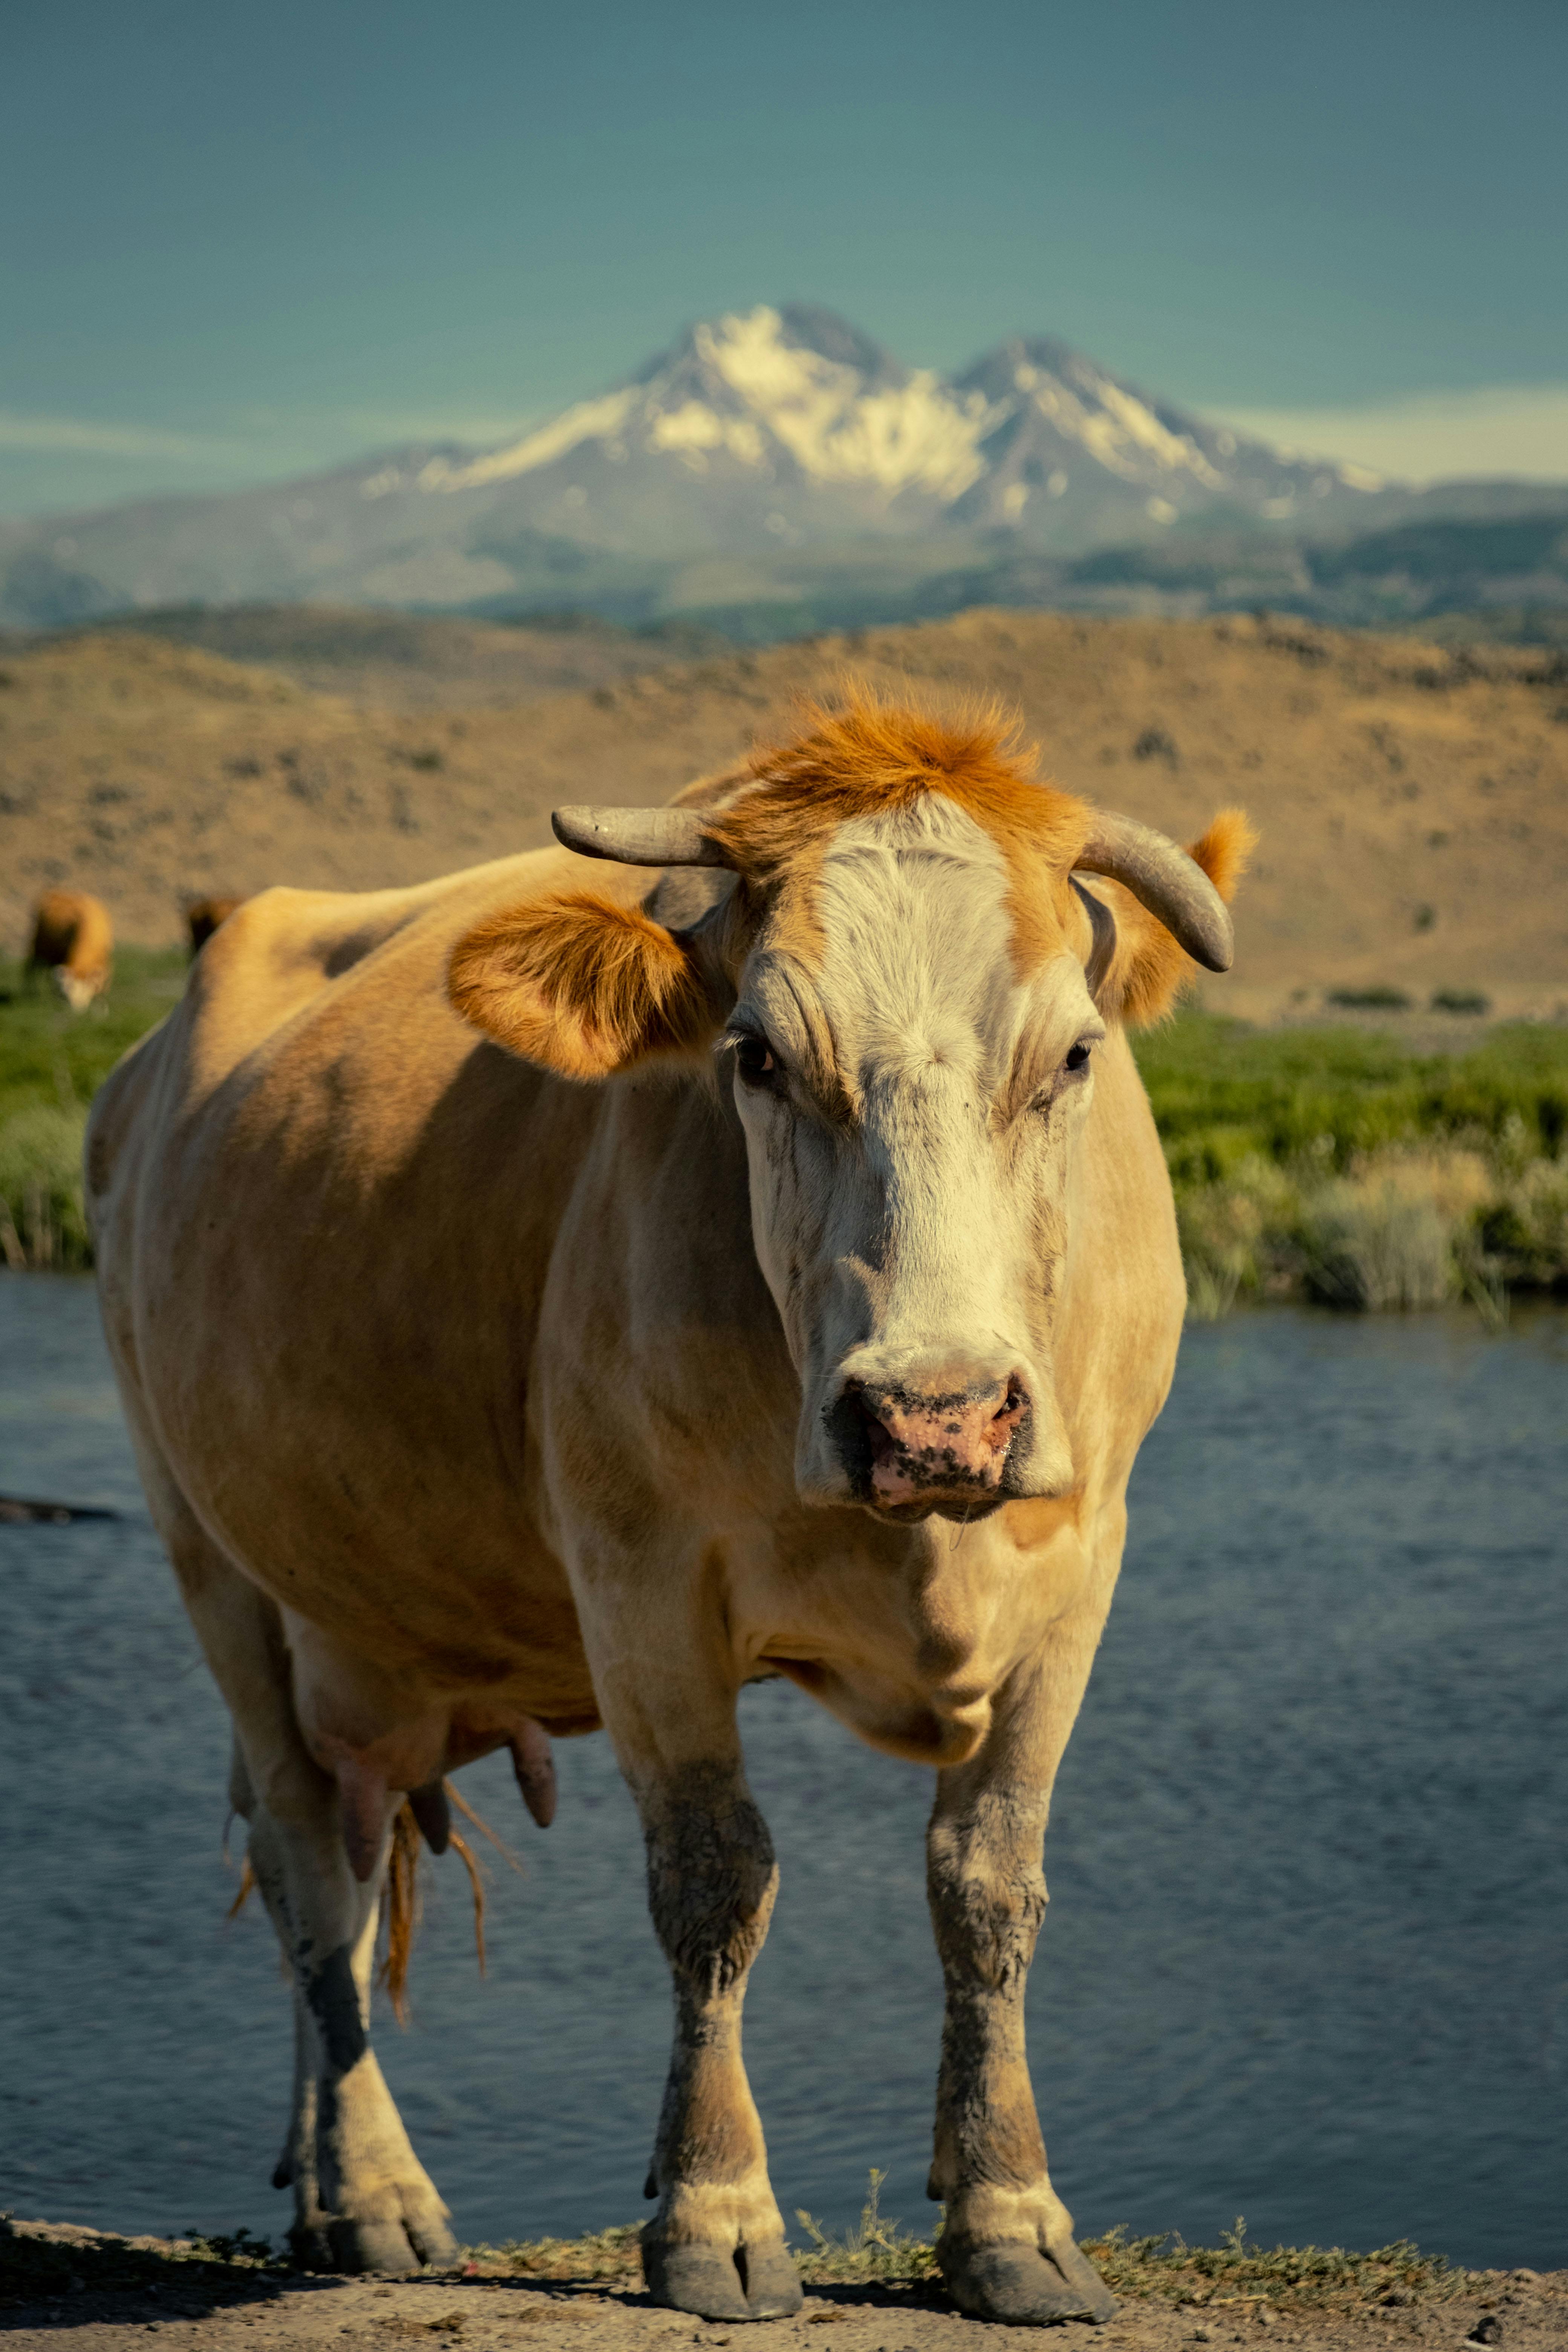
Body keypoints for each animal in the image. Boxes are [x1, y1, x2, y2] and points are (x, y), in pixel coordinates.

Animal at [26, 889, 114, 1011]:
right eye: (67, 991)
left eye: (85, 991)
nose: (77, 1008)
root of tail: (56, 891)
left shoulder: (105, 960)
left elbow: (103, 982)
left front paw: (102, 1005)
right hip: (38, 945)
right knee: (30, 968)